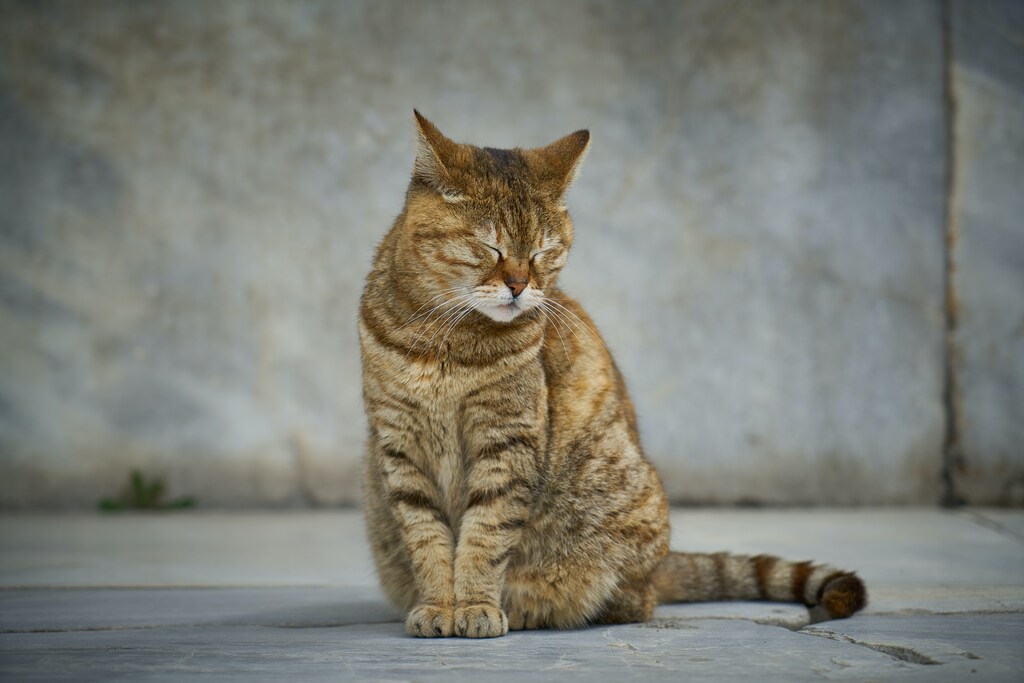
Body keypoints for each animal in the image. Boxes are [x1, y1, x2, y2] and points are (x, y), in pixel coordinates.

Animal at [360, 109, 864, 638]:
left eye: (542, 253)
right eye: (489, 248)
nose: (519, 286)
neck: (443, 340)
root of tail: (661, 568)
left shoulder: (508, 442)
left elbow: (486, 534)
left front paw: (476, 604)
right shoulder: (400, 447)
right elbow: (426, 538)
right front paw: (439, 605)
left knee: (633, 600)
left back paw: (534, 608)